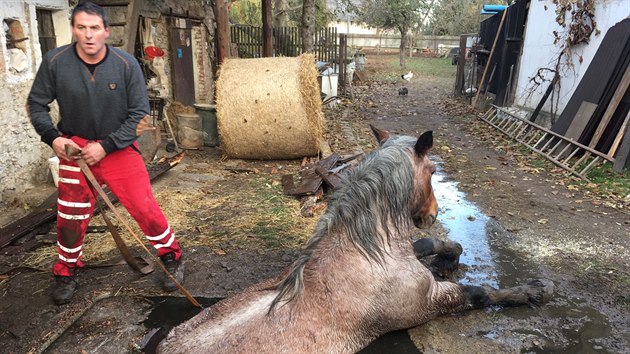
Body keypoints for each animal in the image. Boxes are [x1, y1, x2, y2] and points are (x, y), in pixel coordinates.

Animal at [157, 127, 552, 354]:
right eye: (433, 170)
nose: (431, 215)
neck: (365, 253)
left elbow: (426, 246)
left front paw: (450, 254)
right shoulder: (430, 304)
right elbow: (480, 293)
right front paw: (533, 290)